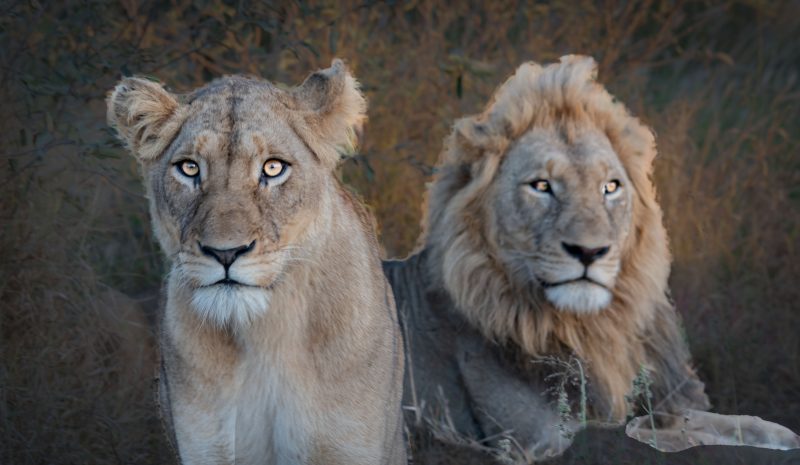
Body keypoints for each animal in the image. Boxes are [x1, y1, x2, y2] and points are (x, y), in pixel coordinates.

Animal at [384, 55, 800, 462]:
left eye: (610, 187)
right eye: (541, 186)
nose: (590, 251)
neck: (594, 329)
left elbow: (708, 419)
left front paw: (779, 433)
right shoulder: (535, 441)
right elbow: (654, 436)